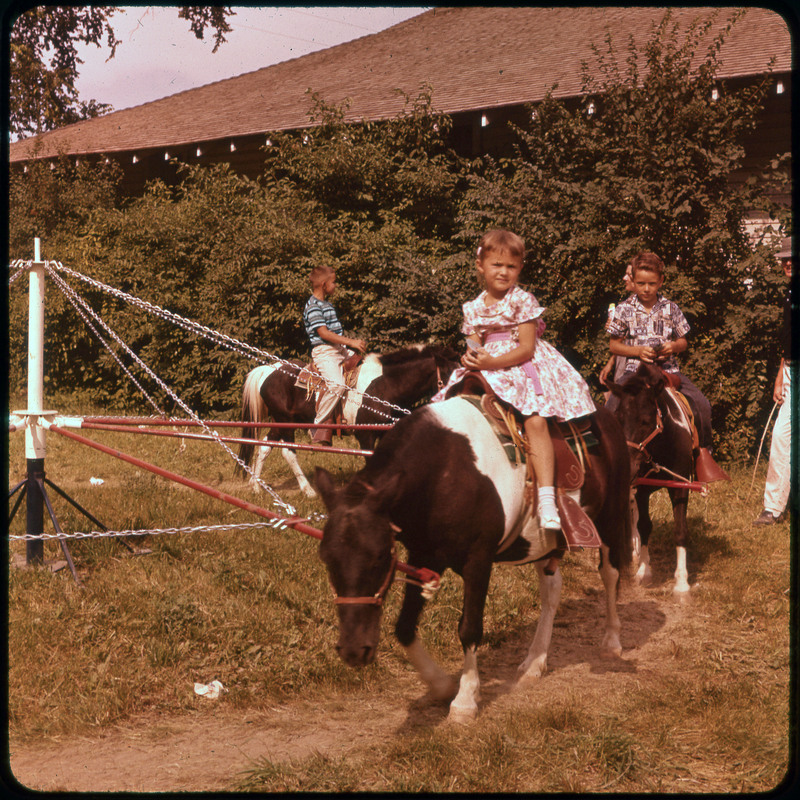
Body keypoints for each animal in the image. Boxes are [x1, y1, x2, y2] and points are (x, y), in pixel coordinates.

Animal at [238, 346, 460, 496]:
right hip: (286, 422)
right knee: (288, 452)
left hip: (280, 422)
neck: (385, 386)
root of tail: (268, 370)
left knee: (264, 446)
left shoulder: (387, 433)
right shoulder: (366, 436)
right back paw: (308, 490)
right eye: (452, 374)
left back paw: (255, 486)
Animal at [312, 396, 632, 720]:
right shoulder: (423, 556)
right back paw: (534, 662)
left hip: (611, 518)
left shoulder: (478, 561)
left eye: (379, 556)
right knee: (552, 591)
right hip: (544, 543)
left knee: (610, 574)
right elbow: (404, 627)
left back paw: (612, 641)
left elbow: (469, 629)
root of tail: (608, 417)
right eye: (325, 557)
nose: (353, 650)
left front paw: (465, 699)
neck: (444, 472)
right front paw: (440, 685)